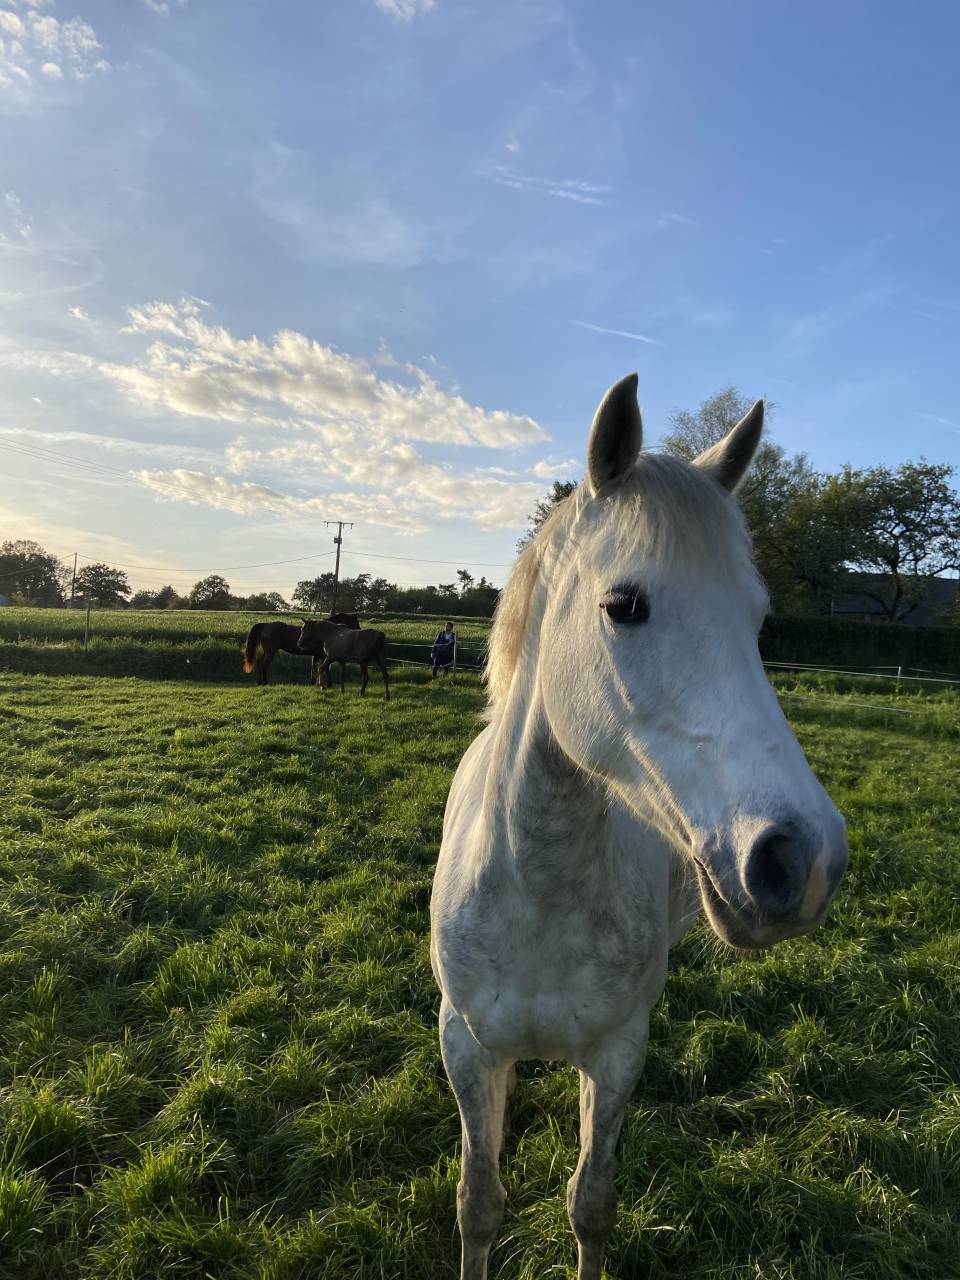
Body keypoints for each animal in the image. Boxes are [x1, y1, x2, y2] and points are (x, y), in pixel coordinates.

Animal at [430, 374, 848, 1280]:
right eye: (624, 604)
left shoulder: (619, 1053)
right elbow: (478, 1202)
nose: (804, 862)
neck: (538, 891)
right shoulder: (466, 1048)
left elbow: (591, 1205)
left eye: (757, 620)